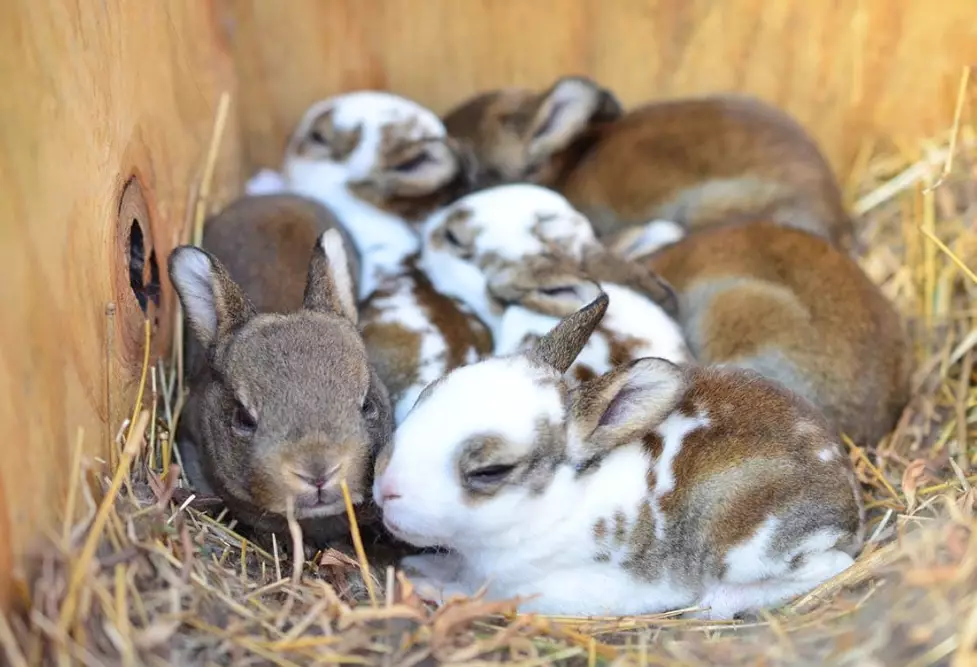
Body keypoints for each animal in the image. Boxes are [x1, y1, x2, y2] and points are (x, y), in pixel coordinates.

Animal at [372, 293, 865, 620]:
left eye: (491, 470)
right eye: (428, 393)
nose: (385, 487)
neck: (556, 504)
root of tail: (851, 501)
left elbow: (478, 595)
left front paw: (429, 585)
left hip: (753, 548)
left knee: (832, 567)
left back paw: (716, 602)